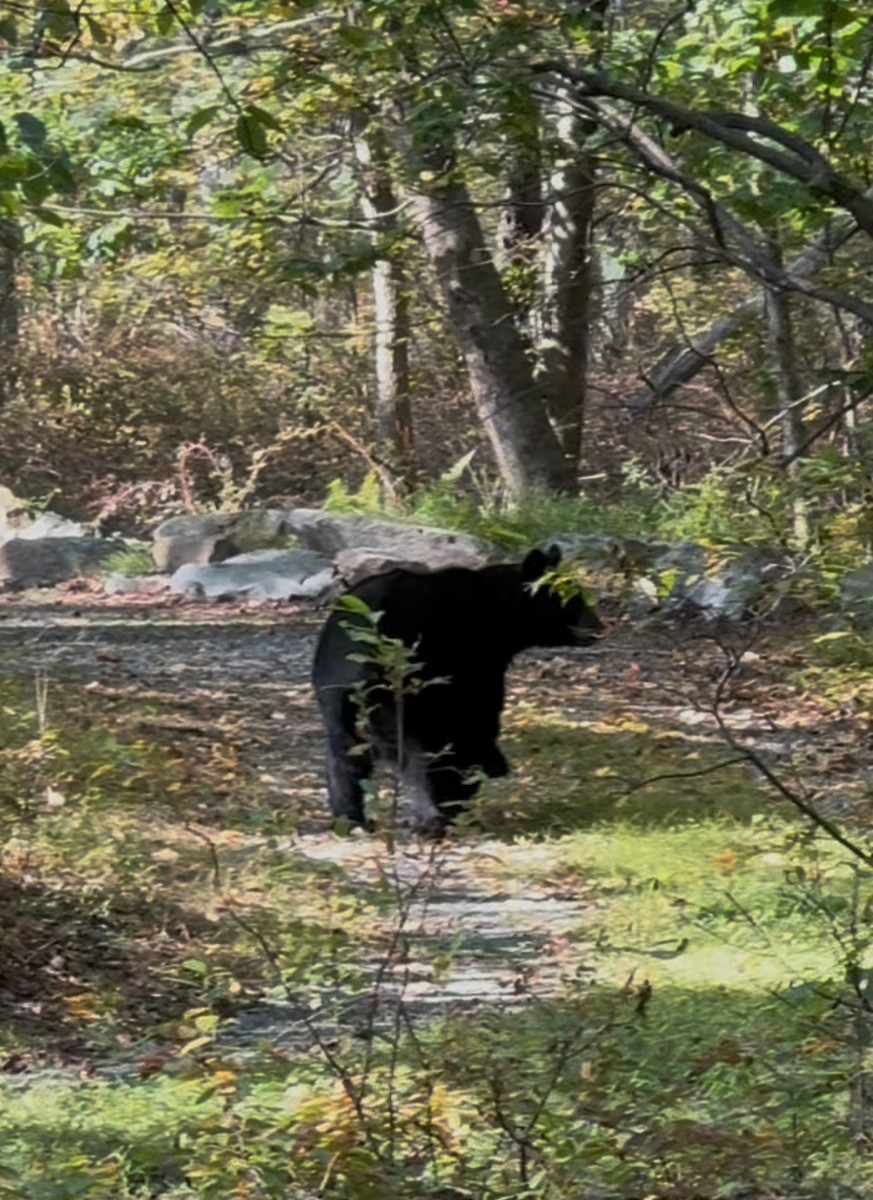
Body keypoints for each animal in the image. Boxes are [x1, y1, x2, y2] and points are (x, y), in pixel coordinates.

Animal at [311, 545, 602, 830]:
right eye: (571, 600)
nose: (599, 627)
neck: (500, 610)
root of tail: (370, 648)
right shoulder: (471, 658)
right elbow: (478, 712)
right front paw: (487, 766)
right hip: (412, 688)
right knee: (423, 752)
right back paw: (438, 813)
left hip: (339, 691)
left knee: (345, 750)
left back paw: (350, 817)